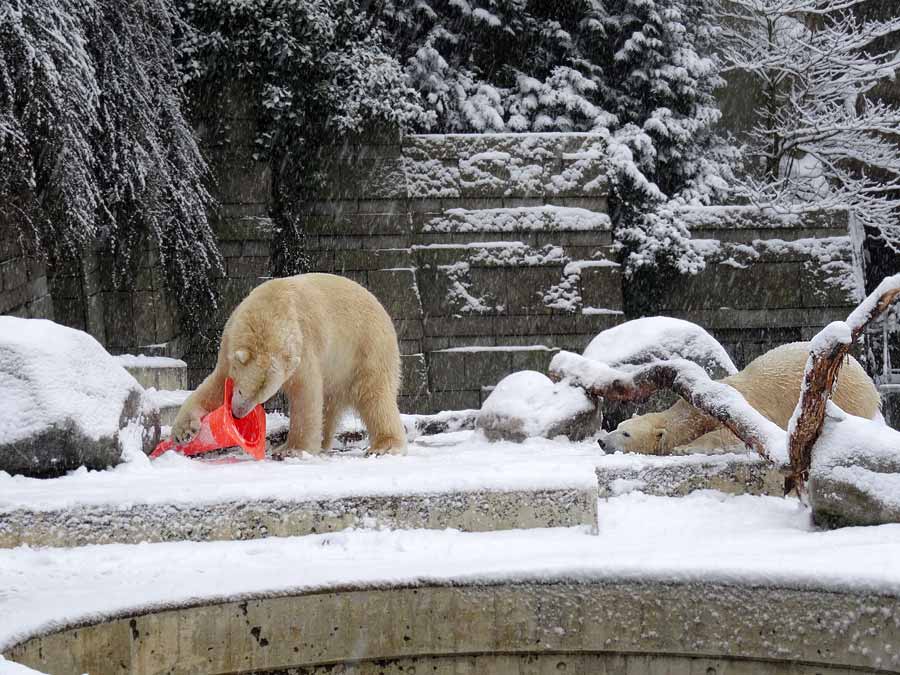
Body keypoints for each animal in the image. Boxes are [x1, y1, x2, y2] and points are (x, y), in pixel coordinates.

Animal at [170, 274, 408, 460]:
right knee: (331, 402)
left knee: (374, 396)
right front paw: (183, 432)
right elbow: (216, 385)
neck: (268, 308)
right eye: (241, 391)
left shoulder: (301, 351)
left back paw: (384, 446)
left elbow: (306, 394)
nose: (237, 414)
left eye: (261, 399)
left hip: (366, 348)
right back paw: (324, 441)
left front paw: (291, 450)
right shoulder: (230, 343)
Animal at [596, 340, 880, 456]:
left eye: (626, 434)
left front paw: (684, 448)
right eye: (619, 426)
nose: (601, 441)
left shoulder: (747, 408)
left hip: (846, 393)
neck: (694, 413)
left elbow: (732, 434)